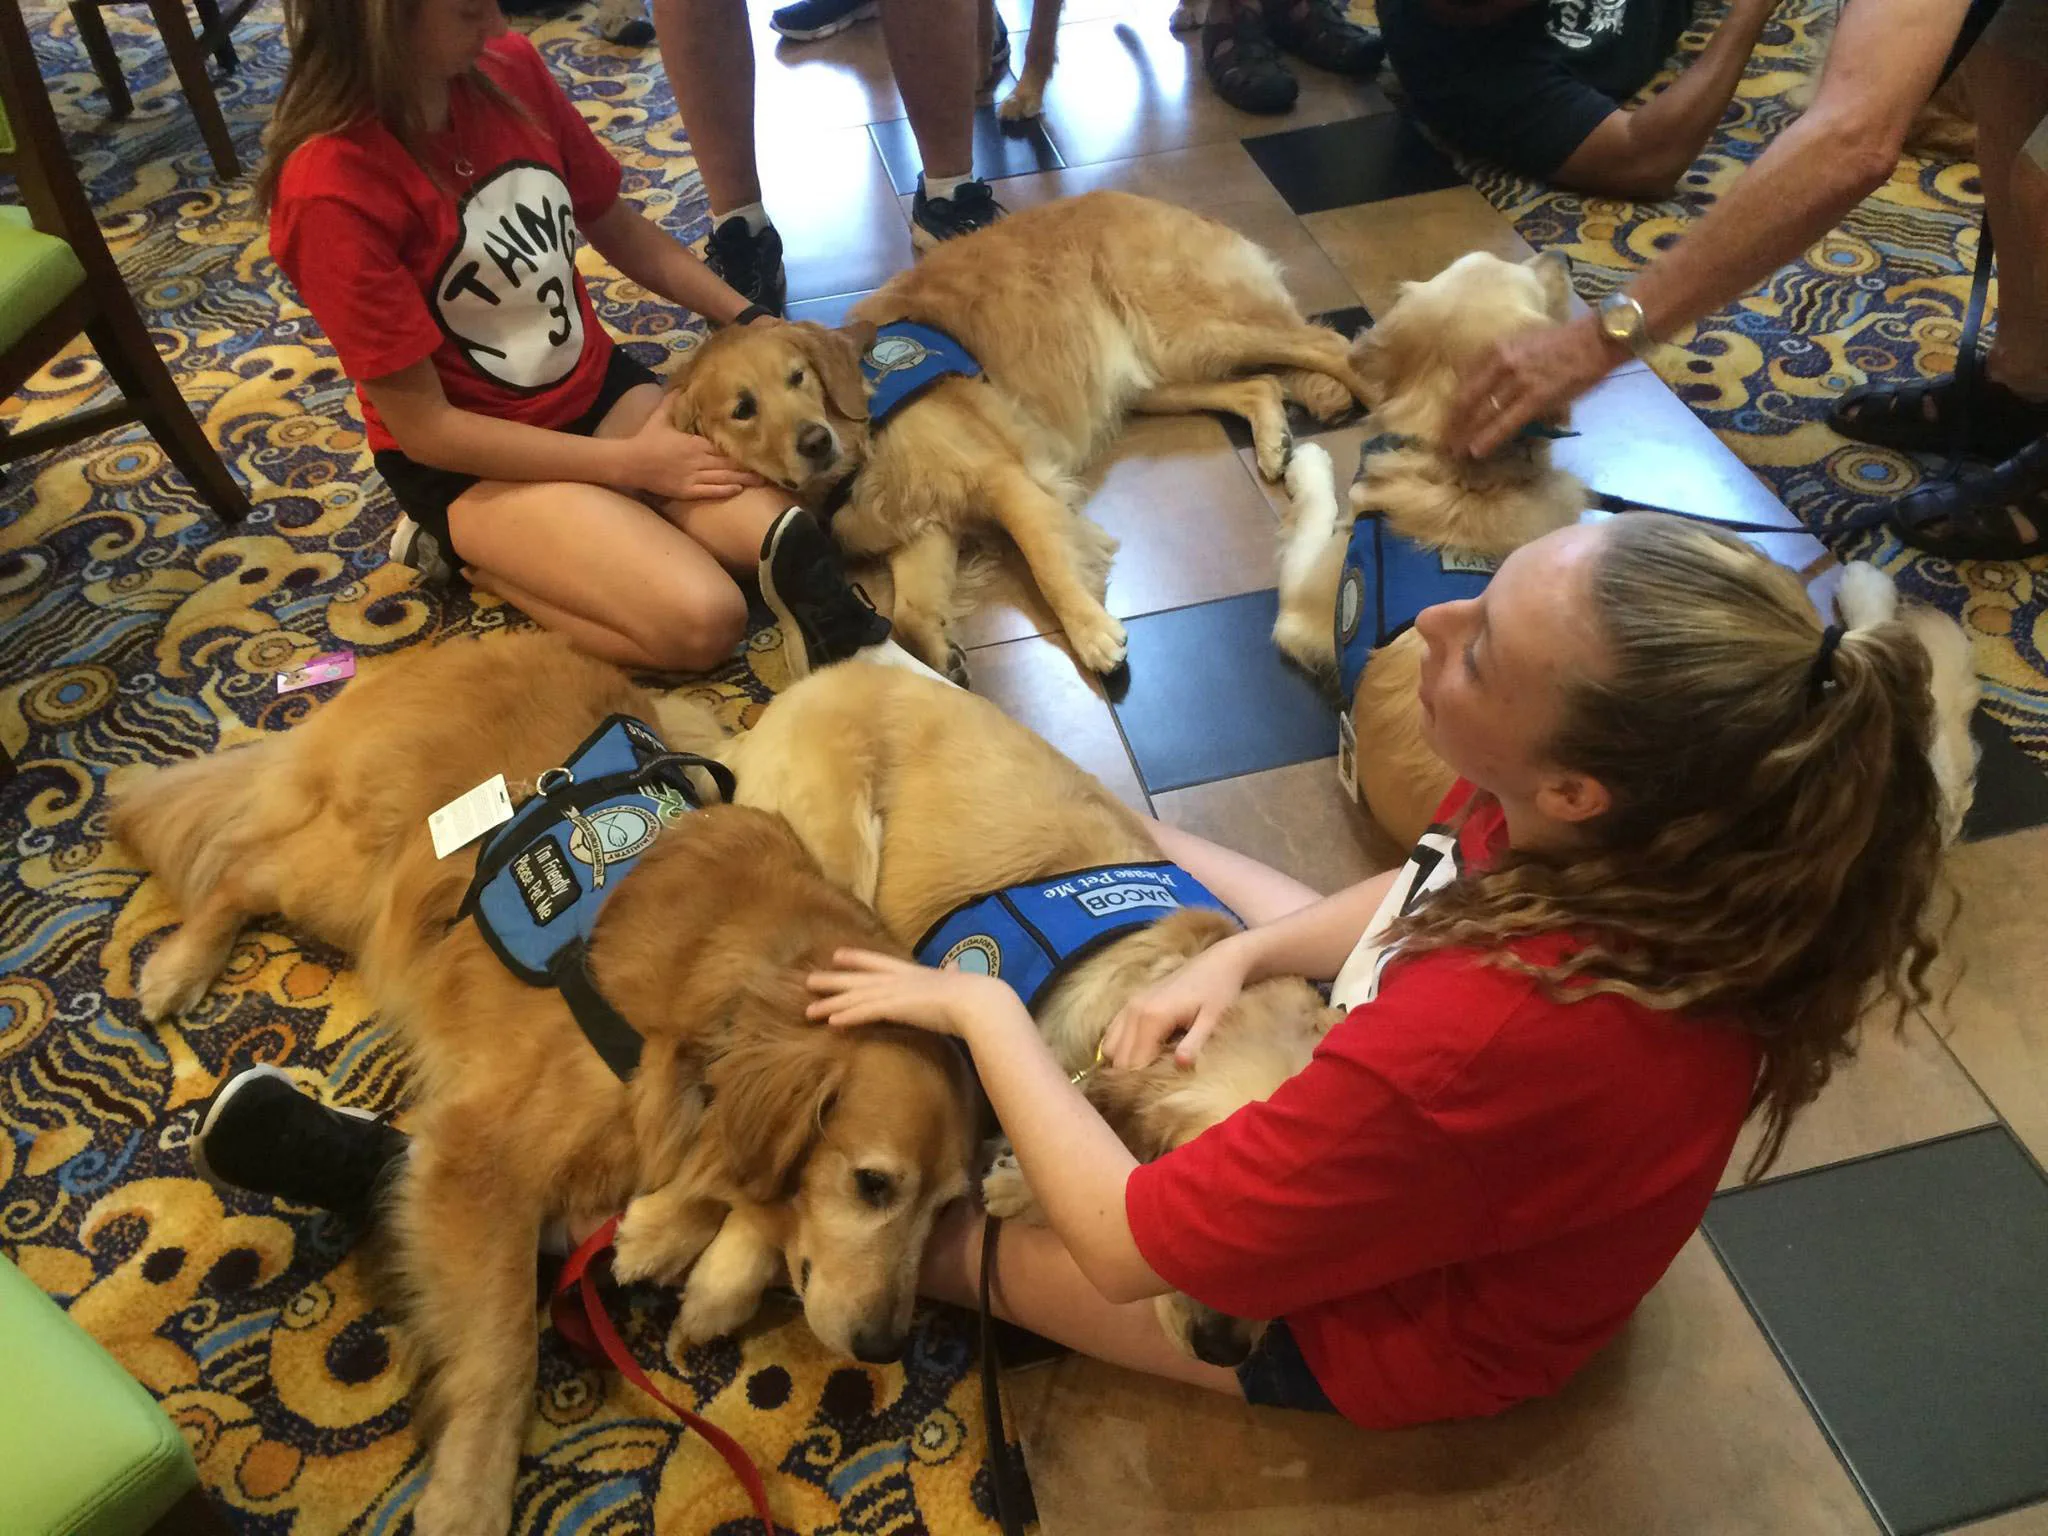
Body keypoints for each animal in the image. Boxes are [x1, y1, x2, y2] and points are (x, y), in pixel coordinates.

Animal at [108, 634, 970, 1536]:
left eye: (948, 1210)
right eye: (873, 1184)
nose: (886, 1347)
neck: (727, 1002)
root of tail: (462, 650)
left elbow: (730, 1184)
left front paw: (669, 1236)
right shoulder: (478, 1154)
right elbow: (501, 1348)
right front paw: (469, 1498)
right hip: (357, 884)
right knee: (243, 867)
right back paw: (177, 965)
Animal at [675, 188, 1376, 679]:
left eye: (798, 377)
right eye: (743, 409)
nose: (815, 442)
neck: (865, 437)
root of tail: (1142, 197)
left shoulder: (1002, 480)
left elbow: (1047, 563)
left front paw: (1092, 633)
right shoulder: (922, 526)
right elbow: (909, 613)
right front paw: (942, 652)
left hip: (1192, 330)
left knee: (1334, 348)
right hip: (1158, 374)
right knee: (1258, 386)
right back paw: (1274, 437)